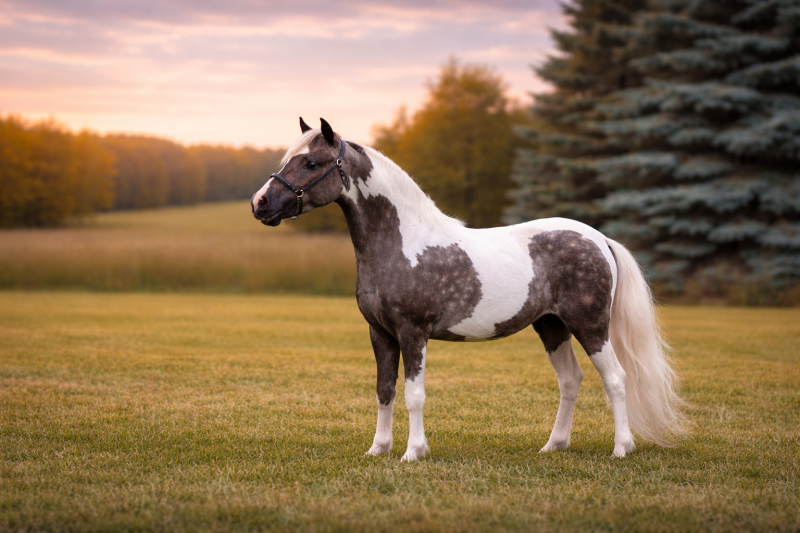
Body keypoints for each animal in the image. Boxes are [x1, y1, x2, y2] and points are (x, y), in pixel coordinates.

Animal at [252, 117, 685, 461]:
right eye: (287, 160)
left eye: (311, 162)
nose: (260, 204)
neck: (402, 242)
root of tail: (599, 239)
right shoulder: (380, 334)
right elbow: (383, 390)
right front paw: (378, 449)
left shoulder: (412, 333)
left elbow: (413, 394)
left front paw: (413, 452)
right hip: (551, 326)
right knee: (570, 380)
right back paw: (553, 446)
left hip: (590, 326)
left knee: (615, 379)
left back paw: (621, 448)